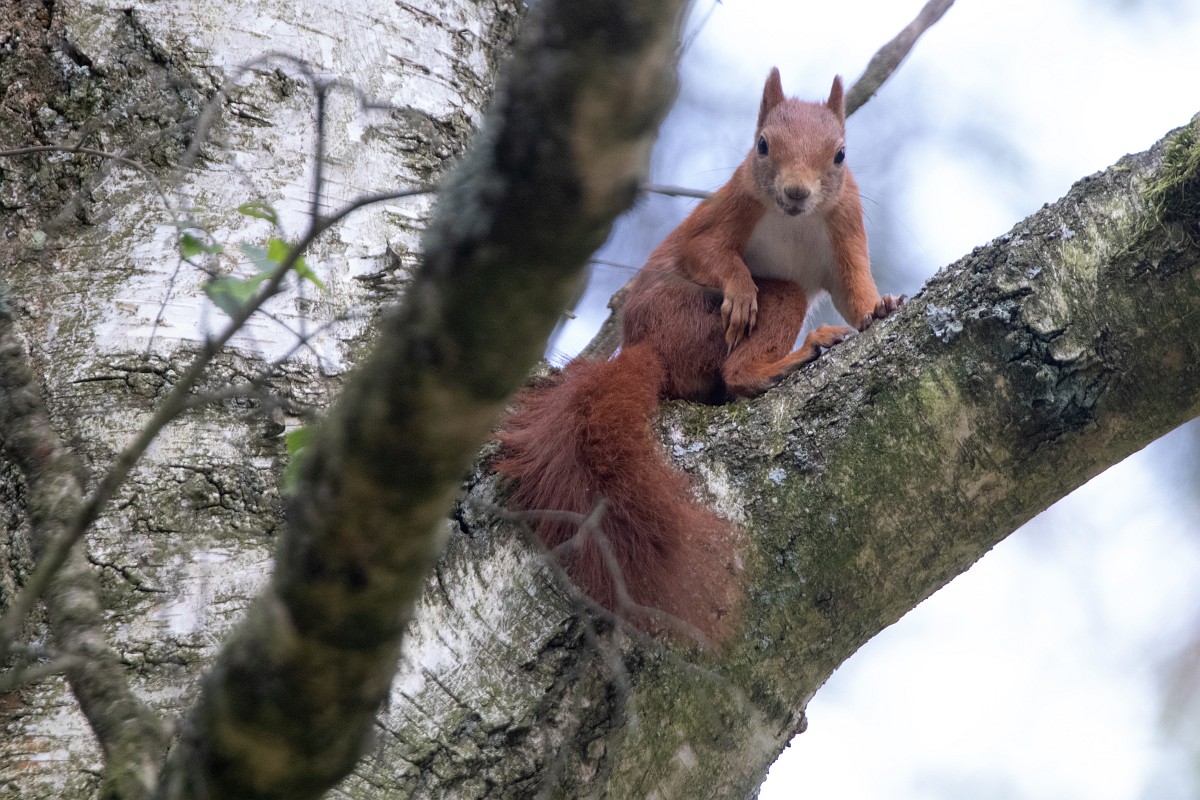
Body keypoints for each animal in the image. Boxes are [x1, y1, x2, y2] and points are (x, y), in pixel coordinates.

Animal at [498, 68, 904, 642]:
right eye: (762, 145)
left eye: (841, 155)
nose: (796, 193)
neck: (792, 220)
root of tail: (644, 345)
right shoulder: (731, 206)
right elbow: (703, 250)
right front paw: (740, 288)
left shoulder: (845, 223)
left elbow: (854, 291)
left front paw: (881, 306)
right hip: (710, 318)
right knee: (738, 370)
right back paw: (794, 356)